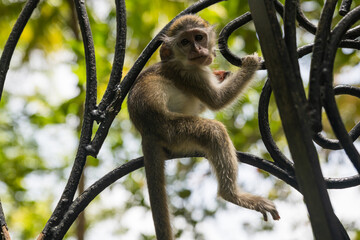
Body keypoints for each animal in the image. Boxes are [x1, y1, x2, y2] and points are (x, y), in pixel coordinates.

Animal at [128, 14, 280, 238]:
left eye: (199, 37)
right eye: (185, 42)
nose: (197, 49)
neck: (180, 61)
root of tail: (146, 131)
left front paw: (220, 74)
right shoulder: (190, 75)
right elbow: (217, 101)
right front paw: (250, 64)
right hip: (173, 131)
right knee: (214, 131)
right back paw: (232, 195)